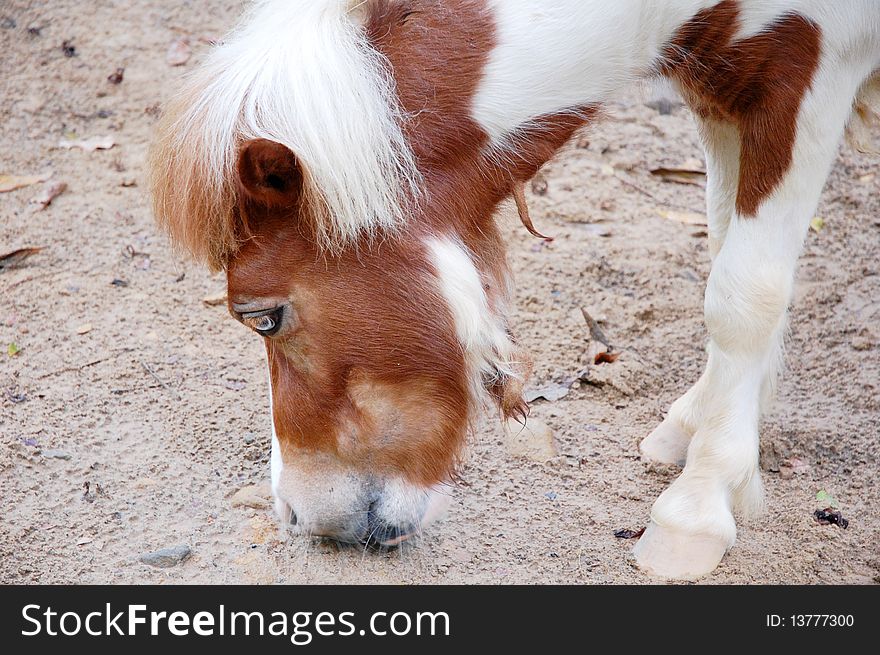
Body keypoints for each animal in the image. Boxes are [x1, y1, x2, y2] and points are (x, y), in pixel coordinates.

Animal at [148, 0, 876, 580]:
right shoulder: (725, 90)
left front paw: (701, 500)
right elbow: (725, 245)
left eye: (262, 317)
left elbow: (744, 295)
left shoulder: (808, 75)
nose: (299, 515)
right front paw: (699, 425)